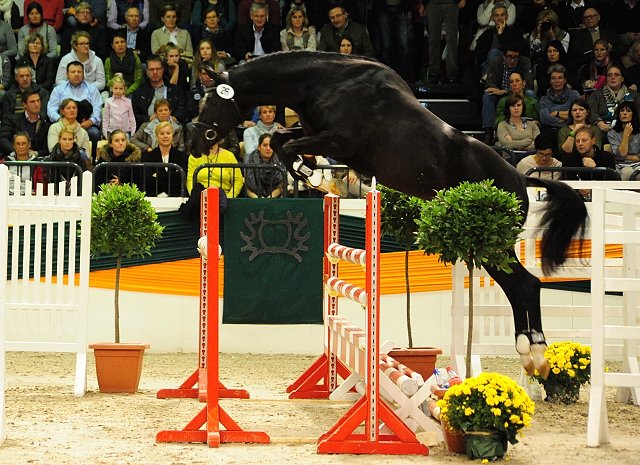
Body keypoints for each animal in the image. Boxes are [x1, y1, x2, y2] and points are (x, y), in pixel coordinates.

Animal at [192, 51, 588, 376]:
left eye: (209, 103)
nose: (195, 143)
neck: (326, 83)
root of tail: (519, 178)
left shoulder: (340, 140)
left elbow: (289, 146)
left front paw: (313, 176)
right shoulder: (316, 132)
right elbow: (282, 139)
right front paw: (312, 173)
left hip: (493, 244)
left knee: (526, 284)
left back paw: (536, 353)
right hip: (488, 245)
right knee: (517, 286)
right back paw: (529, 354)